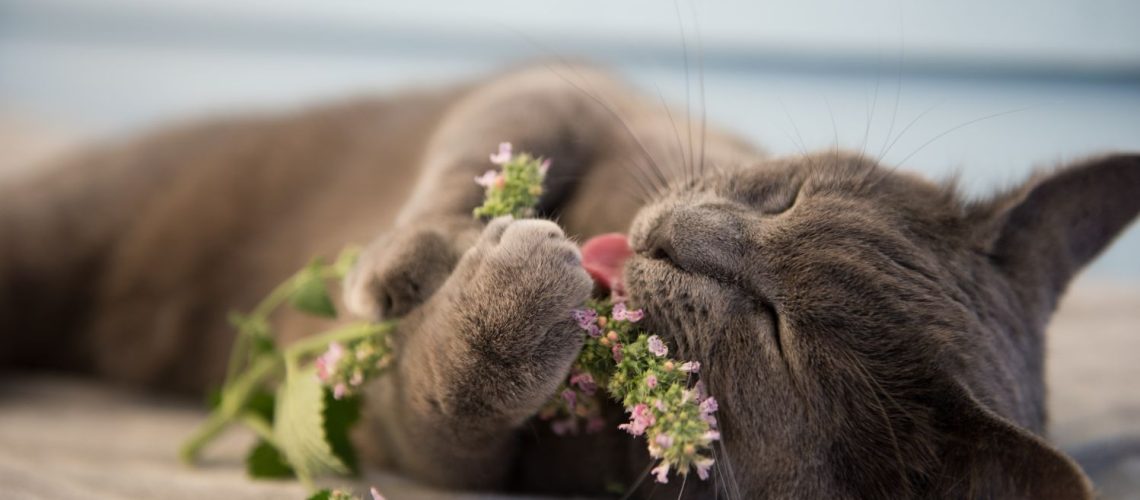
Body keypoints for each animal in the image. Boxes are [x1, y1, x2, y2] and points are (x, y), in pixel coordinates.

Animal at [0, 64, 1135, 498]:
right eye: (787, 196)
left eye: (775, 330)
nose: (682, 238)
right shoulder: (579, 87)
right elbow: (491, 131)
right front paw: (402, 264)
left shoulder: (429, 446)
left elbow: (445, 403)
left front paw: (510, 293)